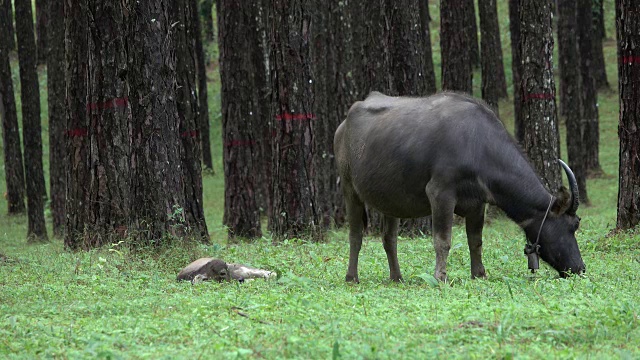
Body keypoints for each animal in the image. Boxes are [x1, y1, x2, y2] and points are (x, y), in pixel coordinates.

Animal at [336, 90, 584, 282]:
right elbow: (443, 241)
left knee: (389, 239)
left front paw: (479, 274)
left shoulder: (477, 203)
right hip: (349, 188)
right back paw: (351, 277)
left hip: (390, 201)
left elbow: (475, 241)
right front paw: (440, 277)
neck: (478, 146)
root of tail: (343, 125)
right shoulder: (440, 194)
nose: (580, 268)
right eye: (573, 225)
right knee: (355, 235)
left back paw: (397, 277)